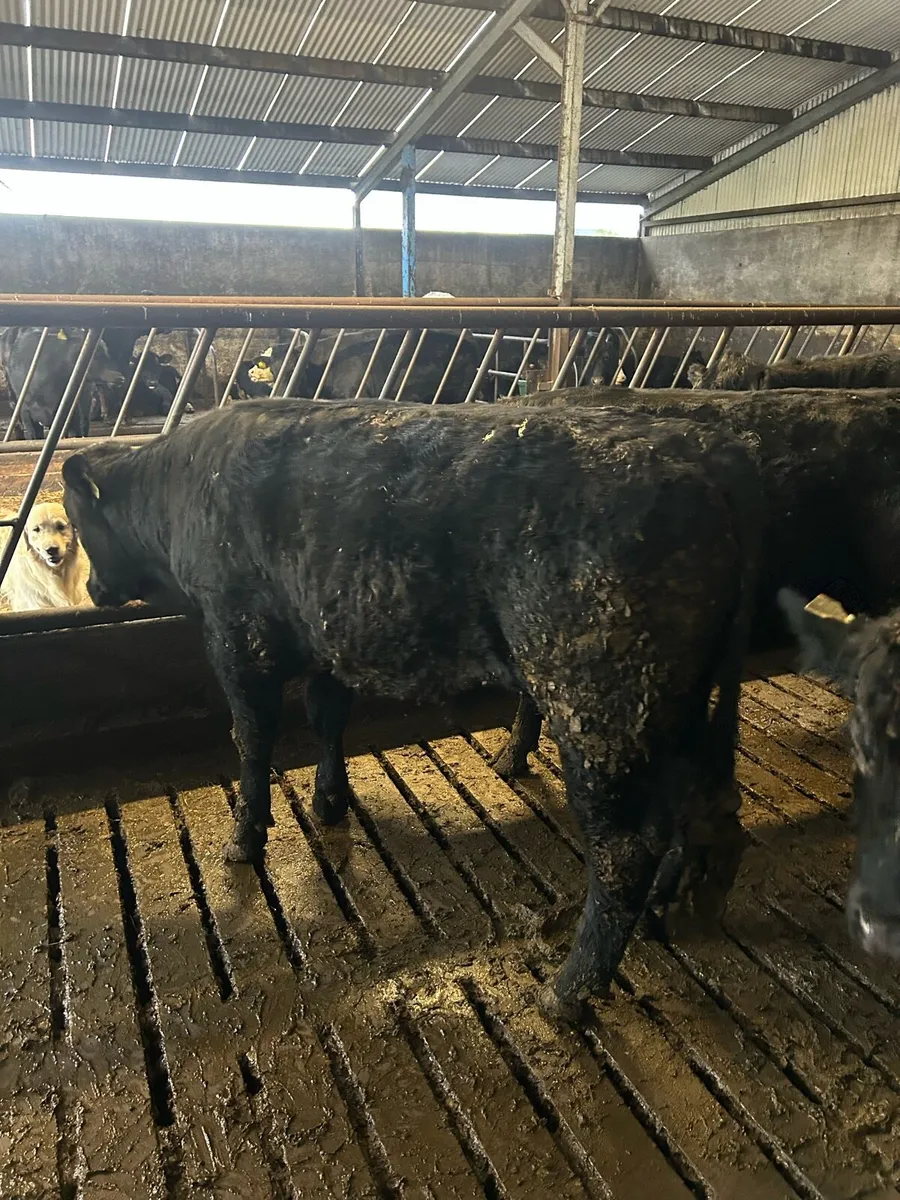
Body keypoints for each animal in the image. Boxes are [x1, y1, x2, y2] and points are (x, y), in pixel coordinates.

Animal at [62, 398, 761, 1018]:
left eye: (75, 517)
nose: (93, 590)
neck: (179, 488)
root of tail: (704, 462)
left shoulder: (238, 638)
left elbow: (252, 740)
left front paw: (244, 839)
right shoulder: (323, 638)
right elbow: (327, 716)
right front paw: (329, 801)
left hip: (599, 711)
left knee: (624, 852)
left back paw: (569, 990)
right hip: (673, 707)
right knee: (703, 808)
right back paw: (681, 906)